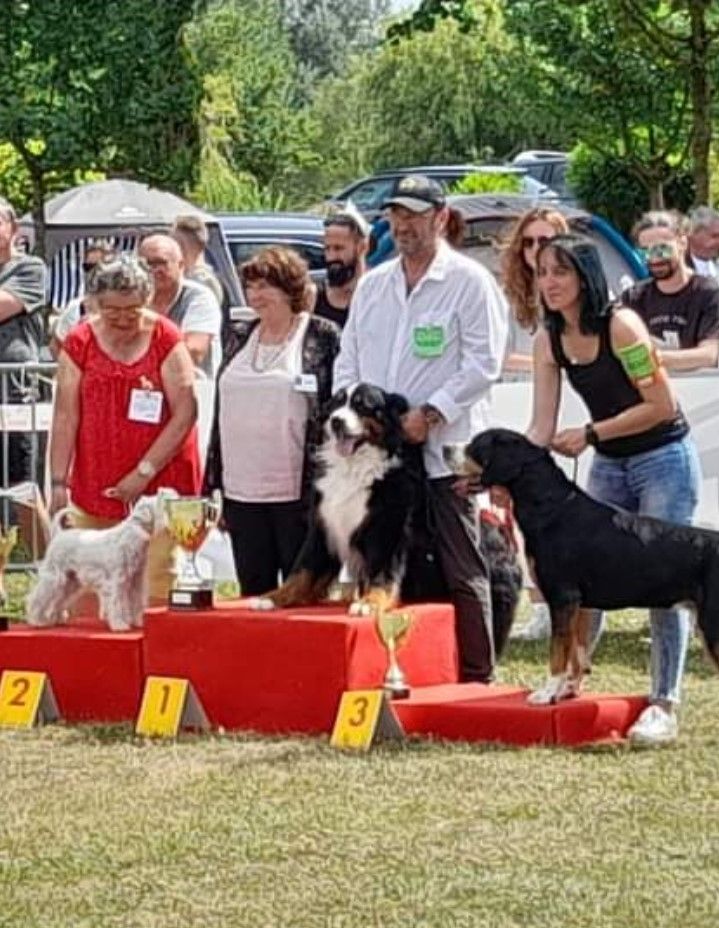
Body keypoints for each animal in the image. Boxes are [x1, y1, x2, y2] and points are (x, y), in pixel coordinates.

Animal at [26, 492, 173, 632]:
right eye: (161, 504)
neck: (133, 533)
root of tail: (59, 534)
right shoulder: (116, 581)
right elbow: (117, 603)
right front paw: (119, 625)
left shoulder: (136, 581)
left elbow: (135, 602)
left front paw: (136, 622)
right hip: (54, 578)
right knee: (38, 598)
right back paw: (37, 620)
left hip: (71, 581)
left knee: (58, 600)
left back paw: (57, 619)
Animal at [450, 428, 719, 704]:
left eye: (477, 445)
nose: (444, 450)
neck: (552, 508)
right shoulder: (579, 604)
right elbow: (576, 651)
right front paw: (566, 690)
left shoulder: (562, 597)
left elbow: (558, 650)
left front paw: (547, 692)